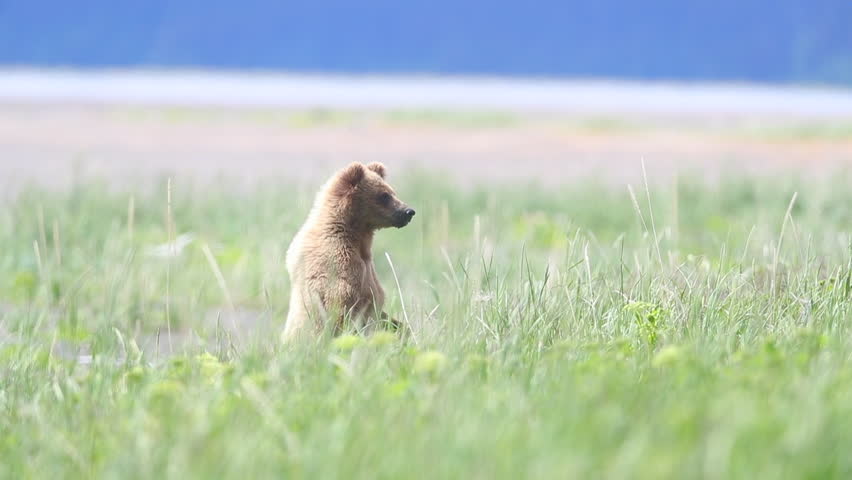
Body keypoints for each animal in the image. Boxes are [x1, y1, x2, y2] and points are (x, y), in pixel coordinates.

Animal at [282, 162, 415, 340]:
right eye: (384, 195)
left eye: (392, 192)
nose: (409, 211)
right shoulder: (339, 263)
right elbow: (343, 304)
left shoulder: (367, 268)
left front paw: (401, 327)